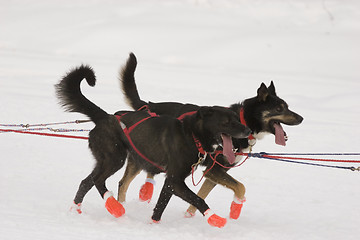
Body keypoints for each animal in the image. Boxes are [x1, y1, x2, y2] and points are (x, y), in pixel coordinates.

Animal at [55, 65, 250, 227]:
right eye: (227, 122)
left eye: (236, 118)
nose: (247, 130)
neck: (192, 136)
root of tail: (105, 117)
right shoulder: (175, 180)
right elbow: (197, 200)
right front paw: (213, 218)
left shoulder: (171, 182)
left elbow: (160, 206)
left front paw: (153, 224)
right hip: (115, 159)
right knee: (97, 181)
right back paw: (115, 207)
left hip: (106, 161)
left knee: (86, 182)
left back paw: (76, 209)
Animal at [118, 52, 304, 219]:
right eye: (279, 108)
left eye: (287, 106)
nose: (301, 118)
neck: (244, 120)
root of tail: (149, 105)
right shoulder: (214, 170)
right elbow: (240, 187)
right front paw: (235, 209)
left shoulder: (214, 173)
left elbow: (200, 195)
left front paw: (189, 216)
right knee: (128, 181)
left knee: (132, 179)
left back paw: (141, 194)